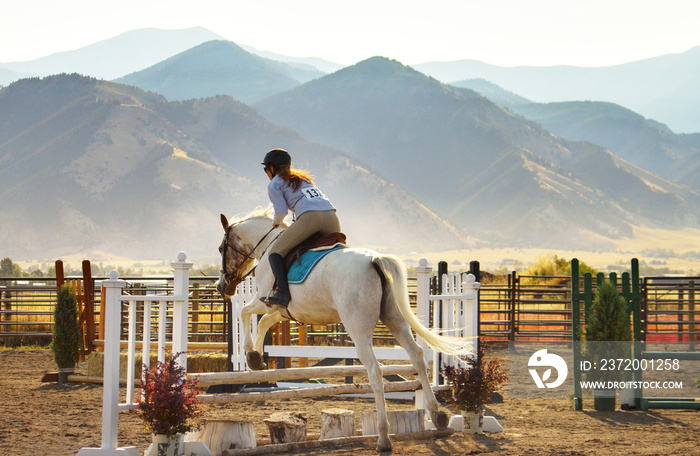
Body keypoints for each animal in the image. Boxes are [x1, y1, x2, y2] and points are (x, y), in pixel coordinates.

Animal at [216, 208, 474, 452]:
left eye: (221, 248)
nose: (222, 287)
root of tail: (376, 259)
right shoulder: (285, 310)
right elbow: (263, 322)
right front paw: (256, 358)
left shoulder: (266, 300)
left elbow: (245, 312)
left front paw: (250, 353)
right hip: (394, 319)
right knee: (417, 356)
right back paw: (437, 415)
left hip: (358, 328)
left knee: (375, 371)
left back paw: (383, 437)